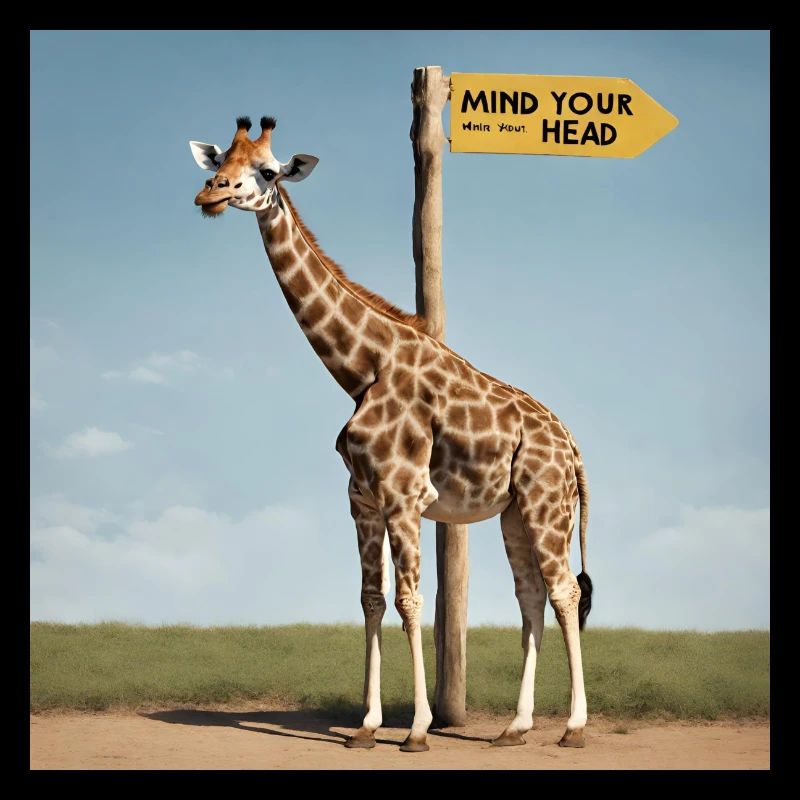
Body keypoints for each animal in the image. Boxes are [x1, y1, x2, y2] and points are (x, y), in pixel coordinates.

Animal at [189, 116, 594, 753]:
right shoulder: (361, 498)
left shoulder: (404, 495)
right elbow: (371, 599)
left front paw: (418, 730)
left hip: (548, 502)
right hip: (513, 511)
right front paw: (366, 726)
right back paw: (516, 727)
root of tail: (573, 445)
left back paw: (574, 728)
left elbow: (410, 599)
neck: (361, 369)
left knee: (564, 593)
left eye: (269, 171)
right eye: (221, 160)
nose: (210, 193)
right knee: (531, 598)